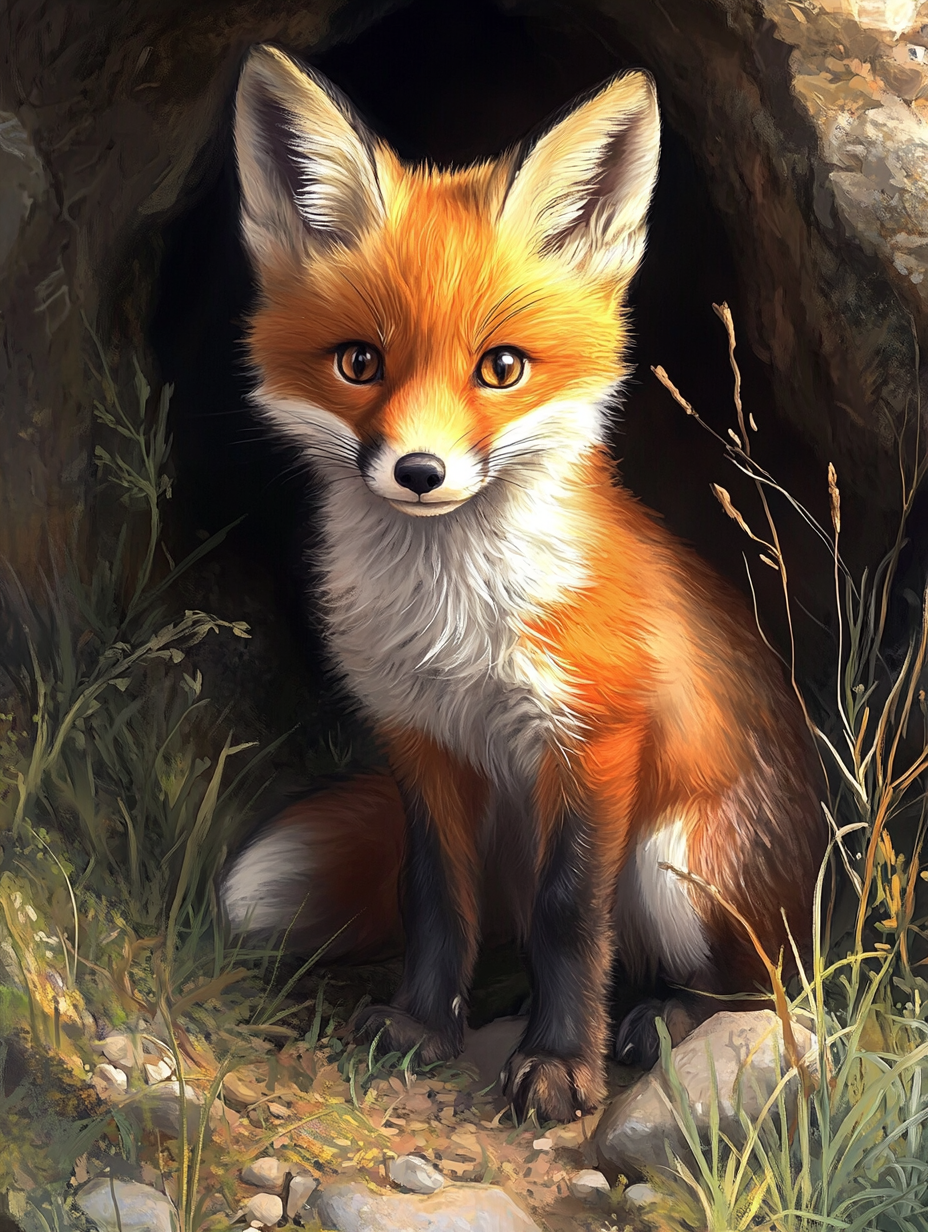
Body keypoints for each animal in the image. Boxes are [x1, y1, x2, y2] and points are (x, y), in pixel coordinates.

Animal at [221, 44, 826, 1124]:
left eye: (501, 368)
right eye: (359, 363)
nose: (419, 471)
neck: (452, 629)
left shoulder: (596, 738)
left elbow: (569, 918)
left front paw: (559, 1068)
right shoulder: (420, 740)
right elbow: (436, 901)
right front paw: (423, 1026)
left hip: (677, 860)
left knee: (759, 984)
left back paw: (659, 1019)